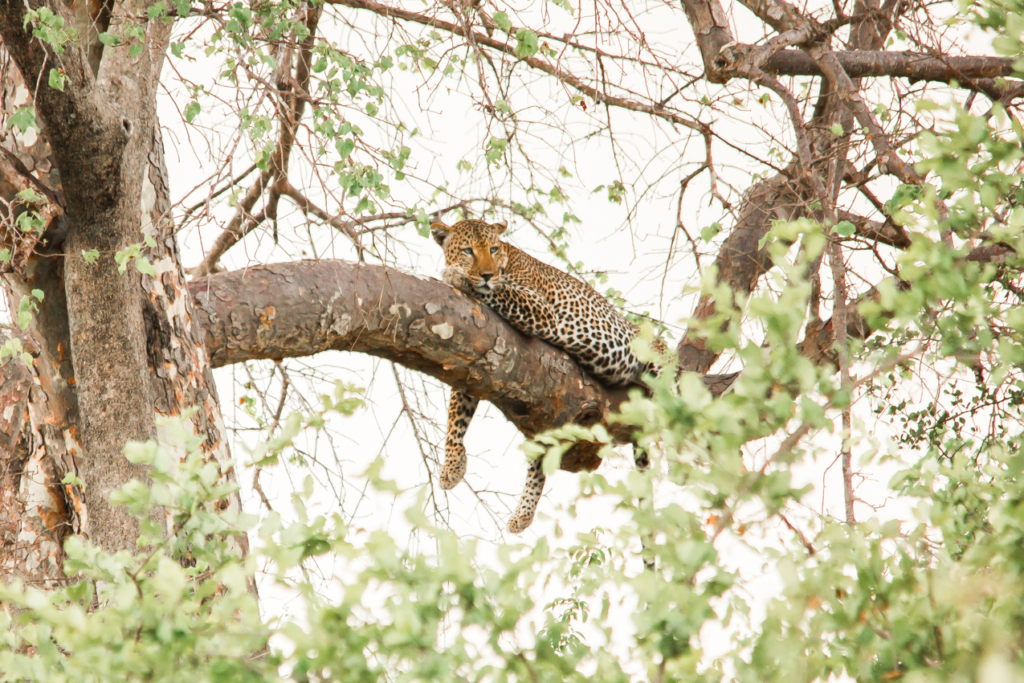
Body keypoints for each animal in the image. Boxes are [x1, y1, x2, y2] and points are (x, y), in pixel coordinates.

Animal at [430, 219, 663, 532]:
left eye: (493, 249)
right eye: (468, 250)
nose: (487, 274)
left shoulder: (540, 309)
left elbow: (499, 290)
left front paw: (457, 276)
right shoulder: (472, 359)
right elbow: (456, 415)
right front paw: (452, 465)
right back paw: (523, 514)